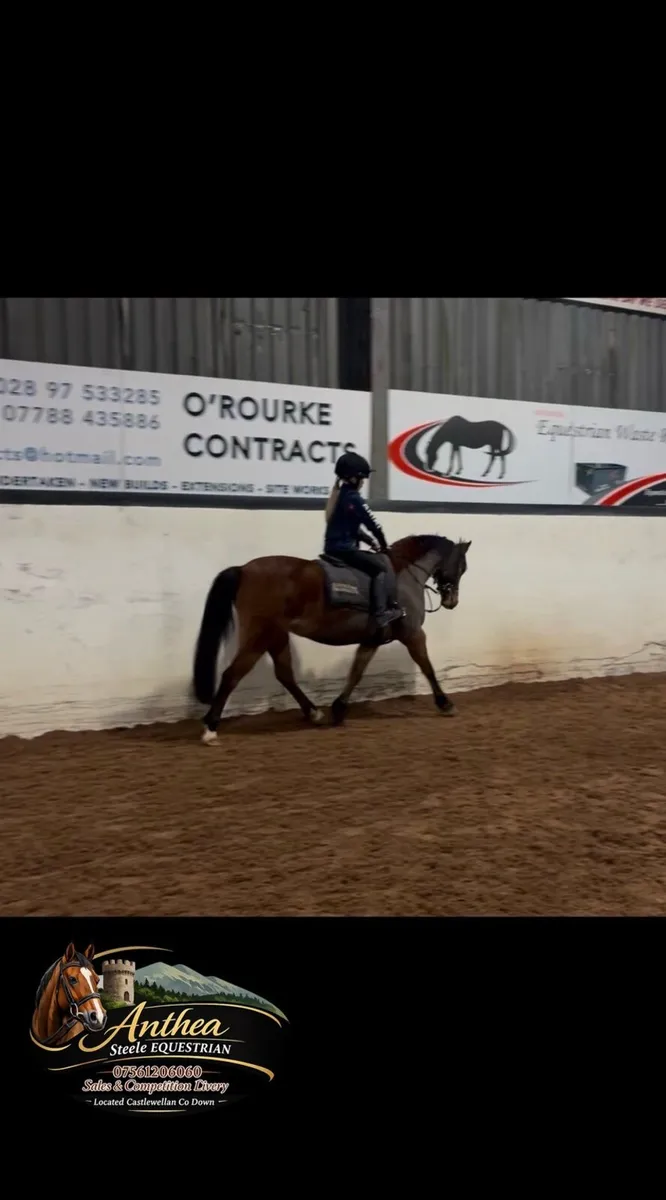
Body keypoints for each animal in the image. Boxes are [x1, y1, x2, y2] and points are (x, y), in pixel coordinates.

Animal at [192, 534, 471, 743]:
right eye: (461, 567)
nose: (452, 601)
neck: (403, 575)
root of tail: (243, 570)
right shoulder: (413, 634)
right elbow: (427, 667)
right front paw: (445, 704)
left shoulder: (372, 639)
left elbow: (356, 671)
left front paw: (338, 709)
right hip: (259, 636)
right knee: (232, 675)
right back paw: (210, 728)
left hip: (275, 635)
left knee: (284, 674)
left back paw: (314, 713)